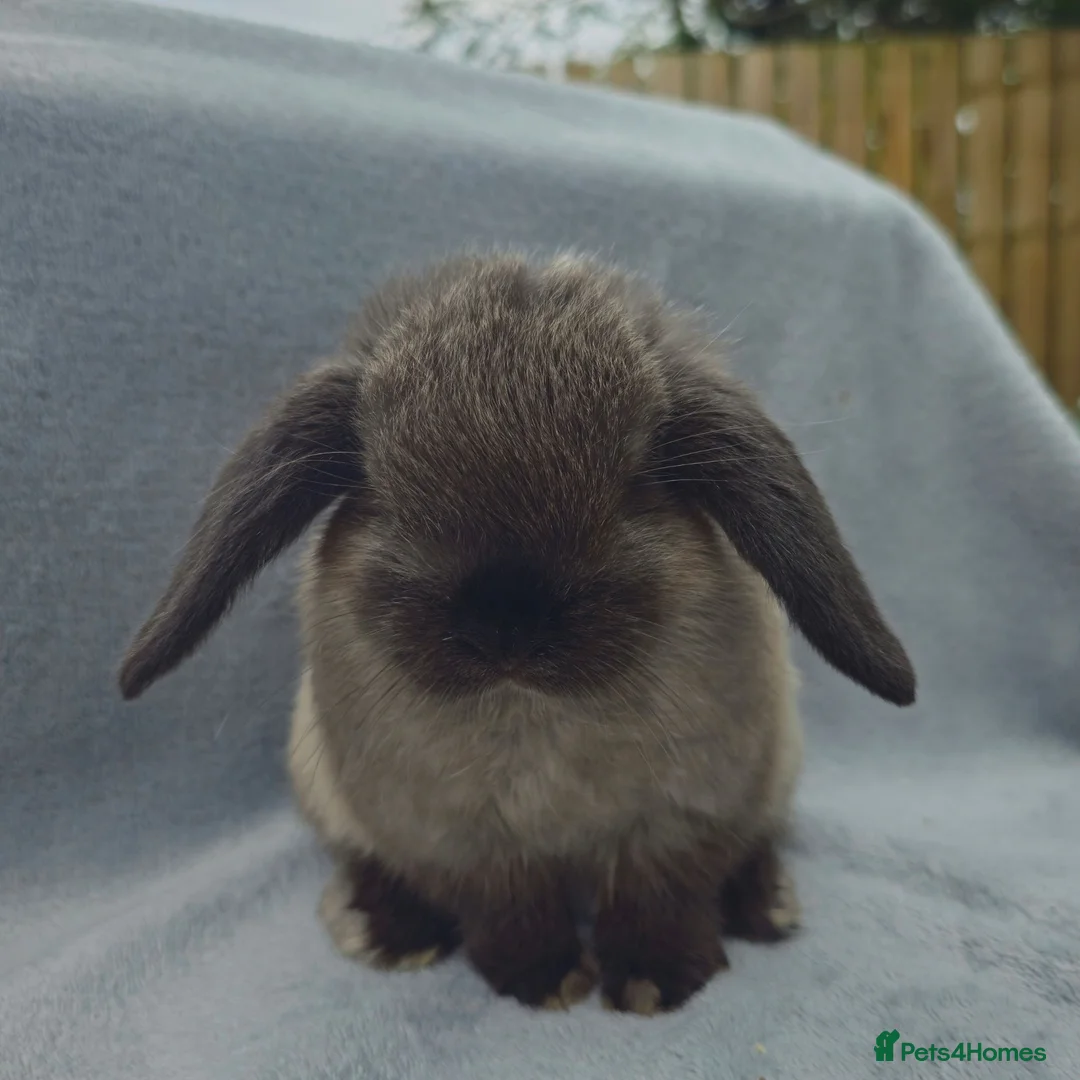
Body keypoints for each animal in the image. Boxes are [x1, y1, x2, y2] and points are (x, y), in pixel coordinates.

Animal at [118, 250, 915, 1016]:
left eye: (639, 483)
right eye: (380, 490)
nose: (504, 622)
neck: (530, 708)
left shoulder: (682, 817)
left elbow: (660, 895)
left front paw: (654, 980)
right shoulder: (457, 841)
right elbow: (507, 911)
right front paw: (545, 978)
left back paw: (765, 907)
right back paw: (387, 930)